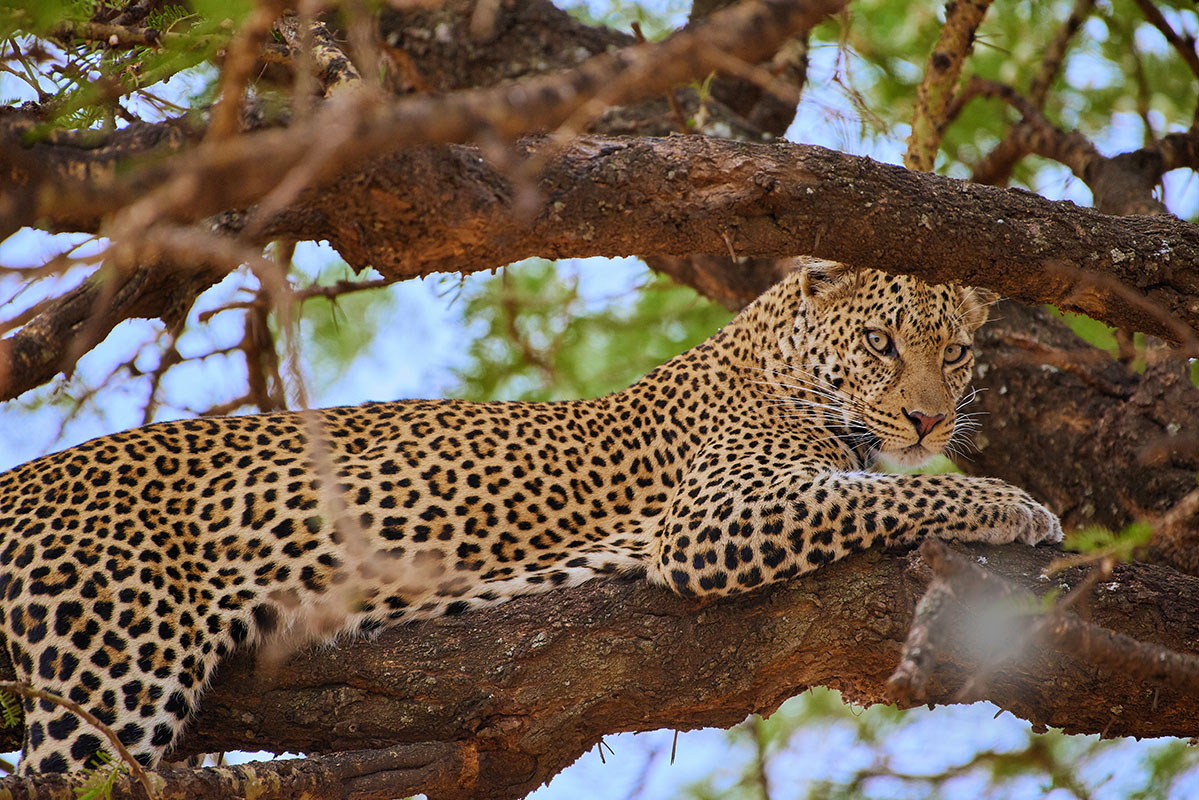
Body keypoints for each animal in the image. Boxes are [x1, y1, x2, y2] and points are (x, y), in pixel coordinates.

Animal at [0, 262, 1059, 777]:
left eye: (956, 352)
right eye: (879, 342)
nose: (926, 418)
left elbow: (889, 481)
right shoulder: (715, 514)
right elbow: (892, 490)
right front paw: (1018, 505)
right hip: (108, 680)